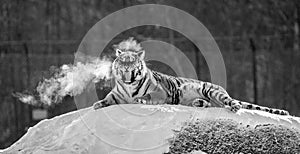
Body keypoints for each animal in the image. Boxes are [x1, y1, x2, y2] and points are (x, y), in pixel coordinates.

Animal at [92, 37, 290, 115]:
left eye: (132, 62)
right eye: (122, 61)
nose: (127, 68)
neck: (129, 84)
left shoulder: (160, 92)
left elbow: (147, 95)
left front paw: (140, 99)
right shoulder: (116, 95)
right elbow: (108, 99)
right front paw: (97, 104)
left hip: (212, 90)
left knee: (231, 102)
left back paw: (233, 106)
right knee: (212, 104)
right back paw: (198, 103)